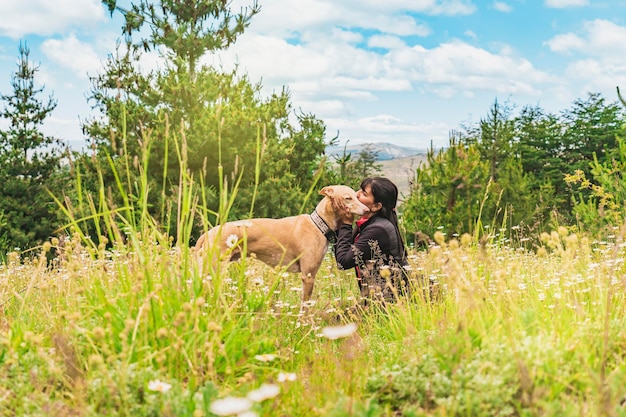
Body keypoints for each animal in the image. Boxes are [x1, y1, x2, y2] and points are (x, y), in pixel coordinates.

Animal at [195, 184, 368, 300]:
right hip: (213, 270)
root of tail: (208, 233)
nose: (367, 210)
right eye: (348, 198)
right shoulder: (308, 276)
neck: (319, 225)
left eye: (357, 196)